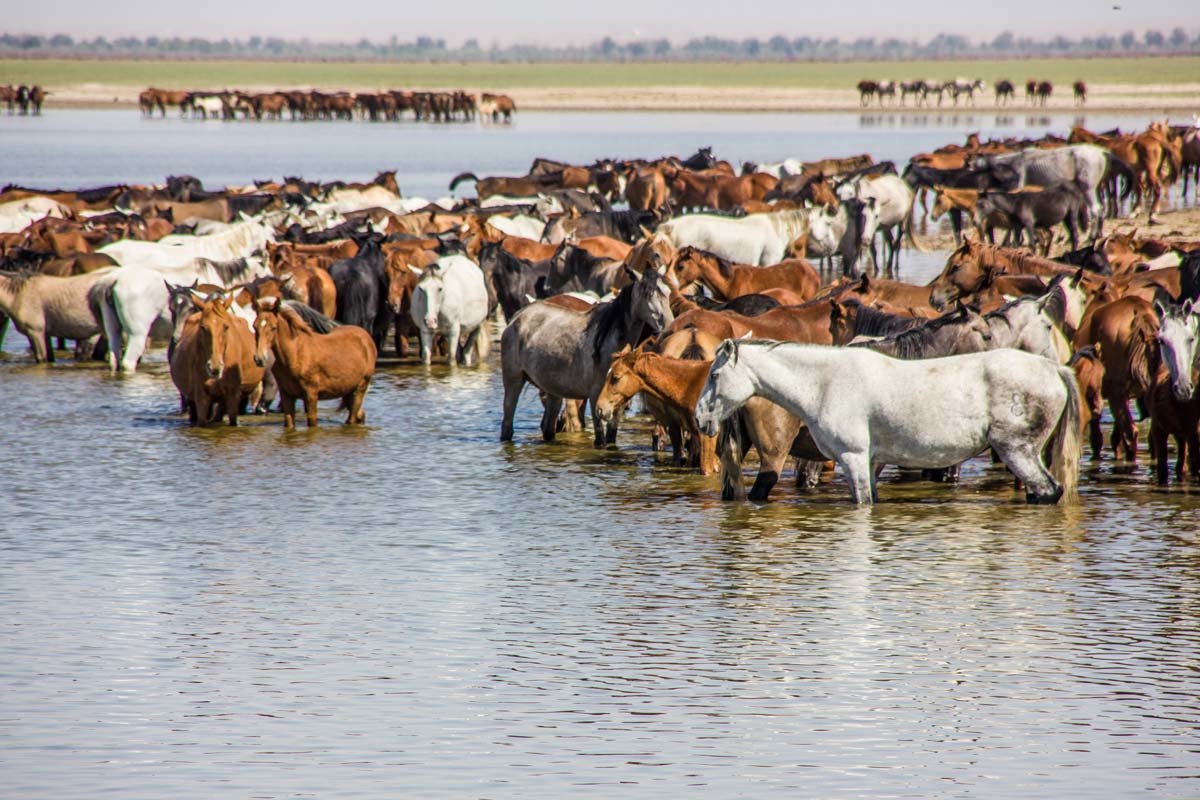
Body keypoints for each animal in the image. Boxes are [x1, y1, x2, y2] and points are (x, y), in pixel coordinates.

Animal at [255, 297, 376, 429]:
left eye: (273, 327)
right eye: (254, 326)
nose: (259, 359)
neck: (295, 355)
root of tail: (367, 338)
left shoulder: (311, 395)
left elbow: (312, 423)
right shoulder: (286, 394)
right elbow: (289, 423)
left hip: (360, 388)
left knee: (352, 418)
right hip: (347, 390)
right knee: (360, 414)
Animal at [499, 266, 676, 448]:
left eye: (668, 291)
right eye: (648, 293)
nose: (669, 326)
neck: (608, 342)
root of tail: (516, 318)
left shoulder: (617, 402)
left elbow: (611, 438)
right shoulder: (595, 396)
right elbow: (600, 439)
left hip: (552, 390)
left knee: (548, 429)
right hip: (513, 381)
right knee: (507, 425)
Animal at [691, 340, 1084, 503]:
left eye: (714, 374)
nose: (699, 418)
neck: (824, 382)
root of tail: (1053, 368)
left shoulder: (852, 458)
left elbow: (862, 502)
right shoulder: (871, 461)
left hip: (1018, 453)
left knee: (1047, 492)